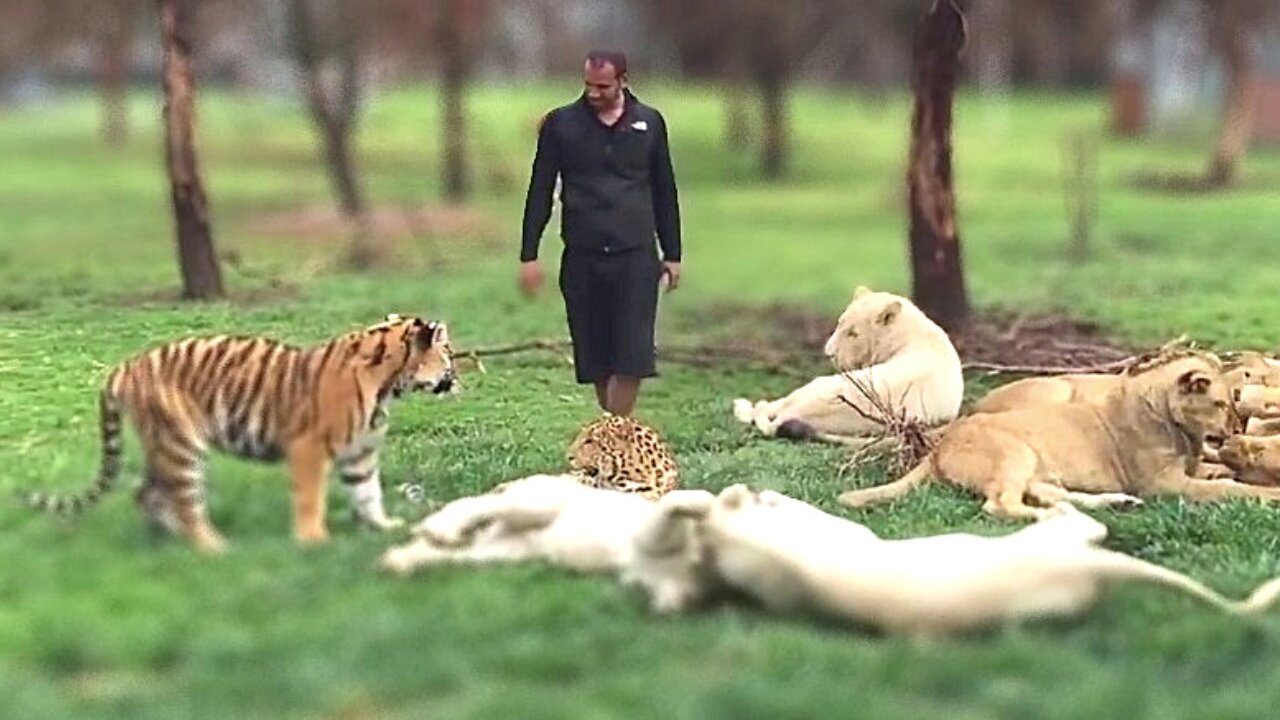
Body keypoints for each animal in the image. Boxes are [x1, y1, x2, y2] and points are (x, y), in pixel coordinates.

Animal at [20, 311, 455, 550]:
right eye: (448, 352)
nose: (455, 375)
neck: (389, 384)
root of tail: (125, 366)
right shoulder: (310, 447)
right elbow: (310, 497)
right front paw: (313, 540)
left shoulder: (360, 453)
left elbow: (368, 495)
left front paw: (385, 527)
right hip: (182, 445)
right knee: (182, 501)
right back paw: (213, 548)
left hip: (161, 444)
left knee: (146, 494)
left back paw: (166, 540)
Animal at [376, 471, 721, 609]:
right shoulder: (648, 535)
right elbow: (681, 506)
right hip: (538, 503)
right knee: (479, 503)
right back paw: (440, 527)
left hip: (506, 552)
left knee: (455, 554)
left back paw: (400, 560)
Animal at [732, 285, 962, 443]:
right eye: (840, 323)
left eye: (853, 334)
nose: (828, 353)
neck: (913, 332)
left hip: (817, 384)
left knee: (767, 408)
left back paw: (743, 406)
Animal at [839, 351, 1280, 515]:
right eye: (1221, 403)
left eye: (1234, 403)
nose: (1233, 429)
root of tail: (938, 447)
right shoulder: (1164, 484)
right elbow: (1227, 488)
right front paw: (1265, 493)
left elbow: (1220, 473)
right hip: (1015, 453)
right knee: (1001, 505)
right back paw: (1055, 521)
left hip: (1034, 464)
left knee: (1045, 493)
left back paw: (1105, 504)